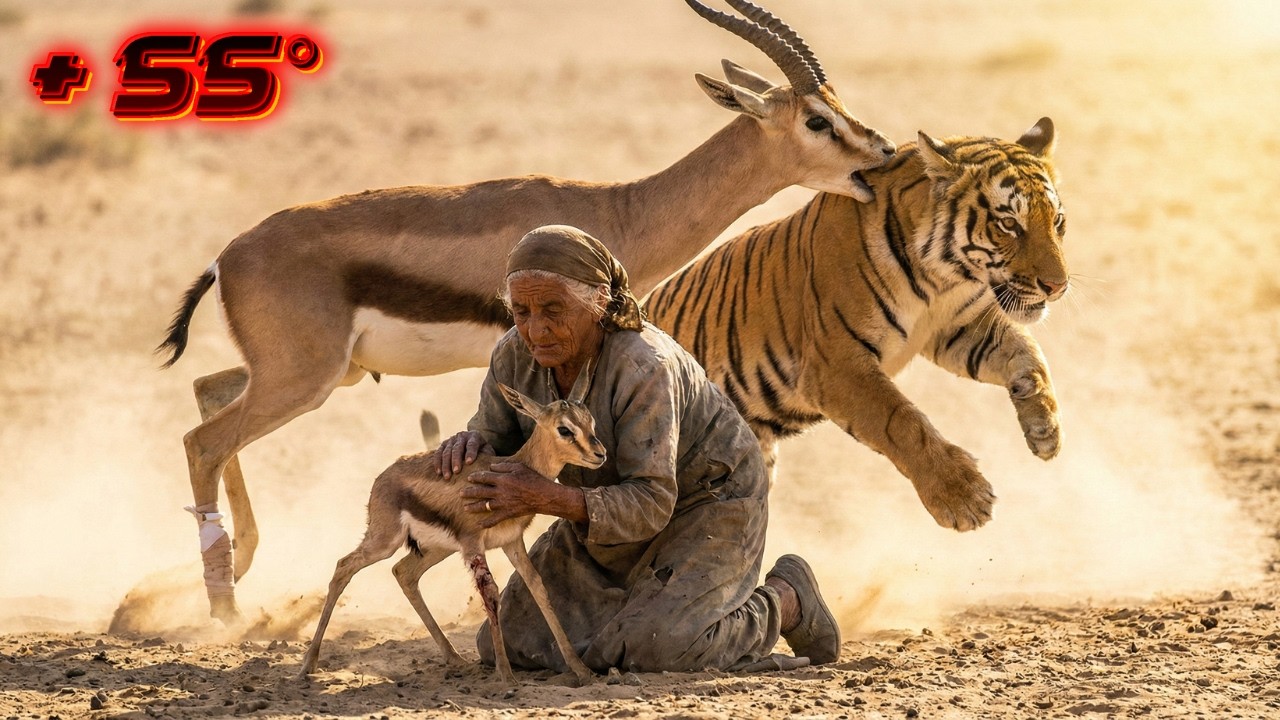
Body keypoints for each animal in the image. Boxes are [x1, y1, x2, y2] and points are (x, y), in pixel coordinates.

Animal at [162, 0, 897, 623]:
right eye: (818, 120)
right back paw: (223, 611)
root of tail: (227, 257)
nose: (883, 153)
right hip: (304, 380)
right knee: (203, 441)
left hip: (318, 375)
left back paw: (235, 570)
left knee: (207, 391)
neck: (615, 212)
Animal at [297, 371, 603, 686]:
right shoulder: (473, 544)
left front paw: (582, 670)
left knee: (403, 573)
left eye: (590, 421)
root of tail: (382, 477)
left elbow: (538, 587)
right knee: (344, 566)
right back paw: (308, 663)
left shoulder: (512, 542)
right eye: (564, 429)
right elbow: (490, 593)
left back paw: (455, 658)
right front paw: (506, 677)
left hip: (437, 548)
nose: (599, 453)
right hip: (385, 541)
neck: (508, 469)